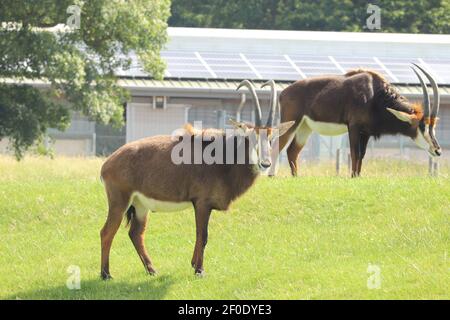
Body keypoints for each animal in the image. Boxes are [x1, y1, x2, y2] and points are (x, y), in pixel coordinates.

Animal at [99, 79, 296, 278]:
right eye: (252, 137)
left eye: (270, 138)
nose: (265, 163)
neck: (225, 160)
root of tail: (107, 164)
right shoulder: (202, 203)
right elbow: (203, 235)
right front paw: (199, 270)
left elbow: (200, 235)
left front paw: (194, 265)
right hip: (120, 202)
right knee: (106, 232)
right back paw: (106, 274)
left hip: (140, 205)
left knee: (136, 234)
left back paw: (152, 270)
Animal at [272, 63, 442, 178]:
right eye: (422, 126)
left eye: (433, 125)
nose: (437, 150)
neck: (375, 94)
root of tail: (284, 93)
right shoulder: (354, 127)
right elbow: (355, 153)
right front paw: (352, 177)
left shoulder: (365, 132)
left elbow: (362, 155)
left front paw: (358, 177)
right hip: (292, 123)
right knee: (277, 145)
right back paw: (271, 175)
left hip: (304, 127)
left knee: (292, 151)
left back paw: (296, 177)